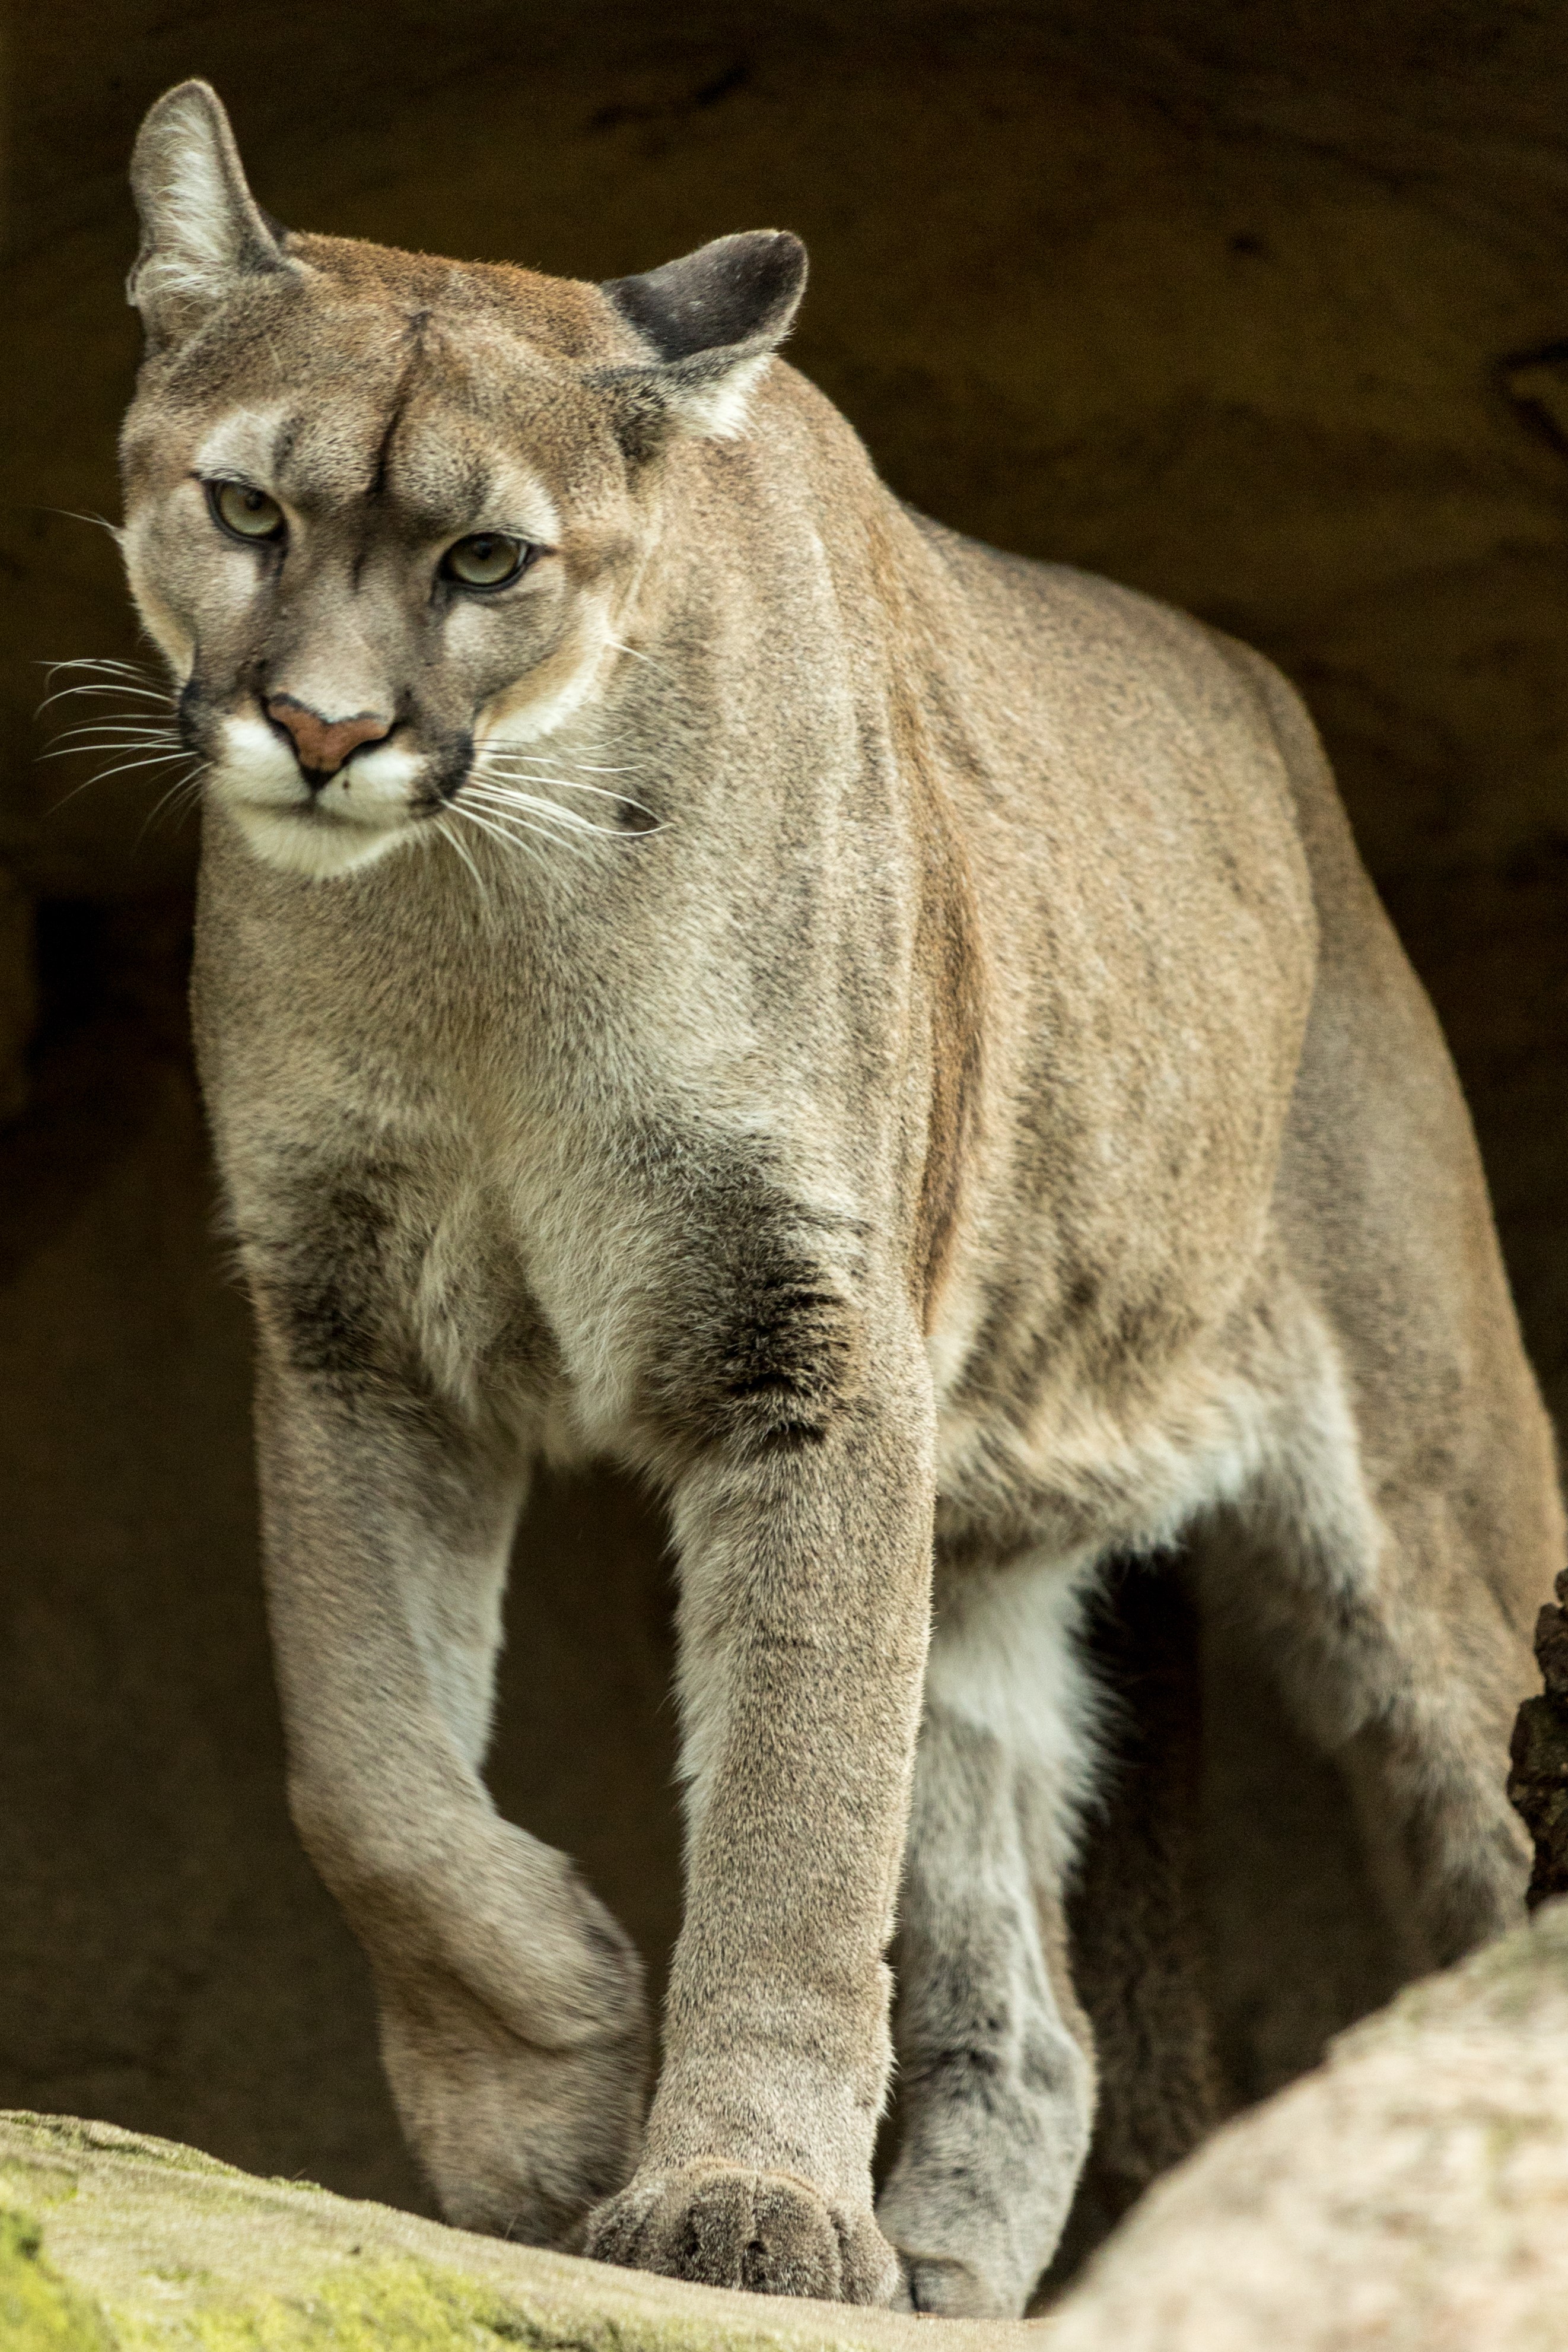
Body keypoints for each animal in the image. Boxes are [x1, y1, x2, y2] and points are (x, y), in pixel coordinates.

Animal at [111, 78, 1563, 2317]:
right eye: (248, 510)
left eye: (484, 559)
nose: (327, 730)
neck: (481, 921)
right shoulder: (347, 1331)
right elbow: (361, 1764)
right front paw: (552, 2084)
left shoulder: (812, 1344)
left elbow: (798, 1817)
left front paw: (741, 2197)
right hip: (983, 1543)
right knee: (1034, 2004)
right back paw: (958, 2269)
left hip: (1421, 1503)